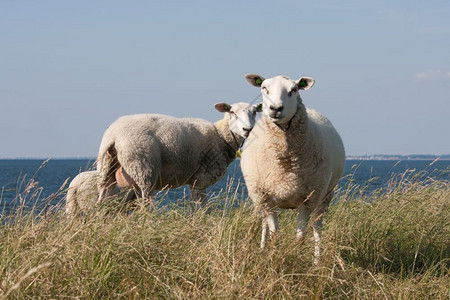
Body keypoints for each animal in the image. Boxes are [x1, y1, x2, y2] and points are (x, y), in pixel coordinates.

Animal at [96, 102, 262, 210]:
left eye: (254, 112)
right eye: (232, 113)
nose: (247, 129)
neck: (220, 136)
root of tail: (114, 135)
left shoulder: (195, 181)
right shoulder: (202, 178)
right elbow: (201, 209)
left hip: (107, 167)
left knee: (102, 198)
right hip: (143, 167)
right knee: (146, 204)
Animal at [243, 74, 344, 262]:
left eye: (294, 90)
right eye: (264, 88)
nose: (275, 108)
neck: (285, 162)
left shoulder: (307, 199)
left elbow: (300, 237)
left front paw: (296, 258)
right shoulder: (266, 198)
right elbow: (275, 235)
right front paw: (273, 258)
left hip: (325, 194)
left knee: (317, 227)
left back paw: (317, 260)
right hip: (260, 198)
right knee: (263, 224)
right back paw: (261, 249)